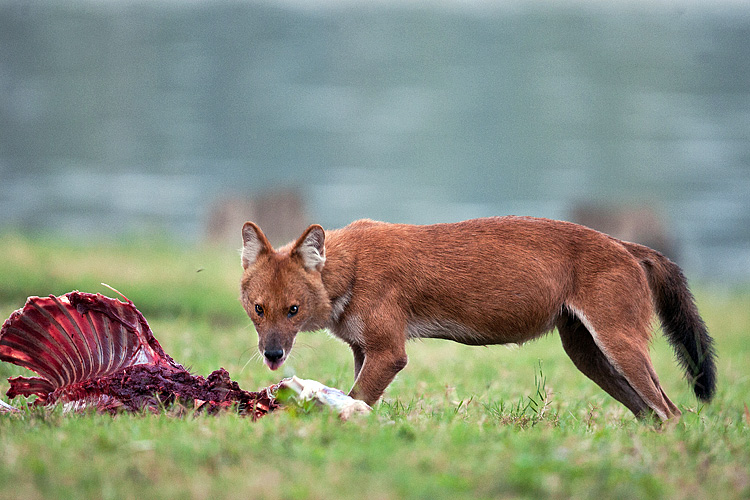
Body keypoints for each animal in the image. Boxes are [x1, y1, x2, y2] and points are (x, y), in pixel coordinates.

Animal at [239, 216, 716, 420]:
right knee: (652, 414)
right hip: (588, 356)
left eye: (293, 310)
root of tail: (626, 245)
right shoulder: (364, 349)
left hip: (618, 344)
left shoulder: (389, 352)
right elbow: (360, 392)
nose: (273, 354)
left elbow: (357, 398)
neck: (351, 267)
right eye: (258, 309)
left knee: (672, 411)